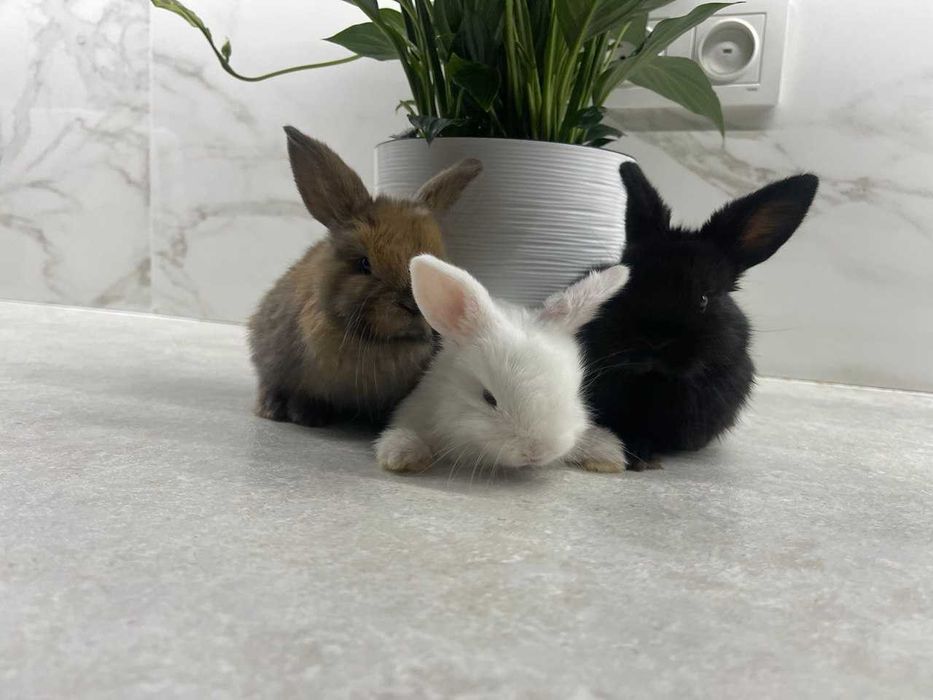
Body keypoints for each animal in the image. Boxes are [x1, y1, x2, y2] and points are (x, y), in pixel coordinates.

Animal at [248, 126, 482, 427]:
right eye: (363, 264)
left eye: (435, 262)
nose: (411, 305)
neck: (382, 344)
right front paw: (307, 416)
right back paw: (273, 409)